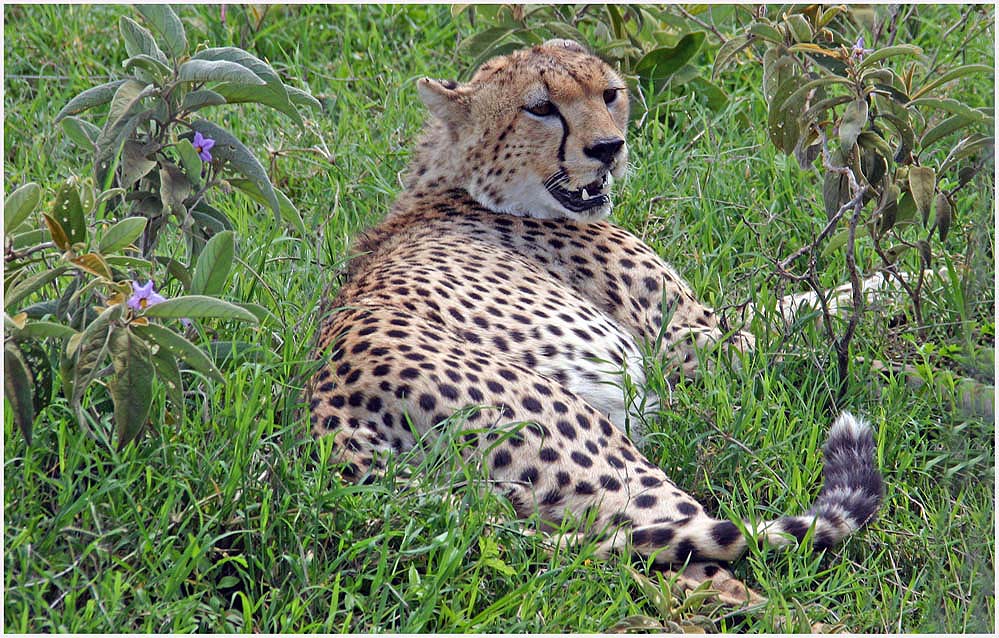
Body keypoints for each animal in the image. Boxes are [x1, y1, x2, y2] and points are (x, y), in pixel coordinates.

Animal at [306, 37, 884, 580]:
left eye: (609, 94)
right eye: (541, 108)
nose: (608, 148)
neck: (461, 187)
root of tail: (328, 427)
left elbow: (796, 305)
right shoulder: (694, 345)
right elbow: (806, 313)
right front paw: (897, 304)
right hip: (605, 460)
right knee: (695, 551)